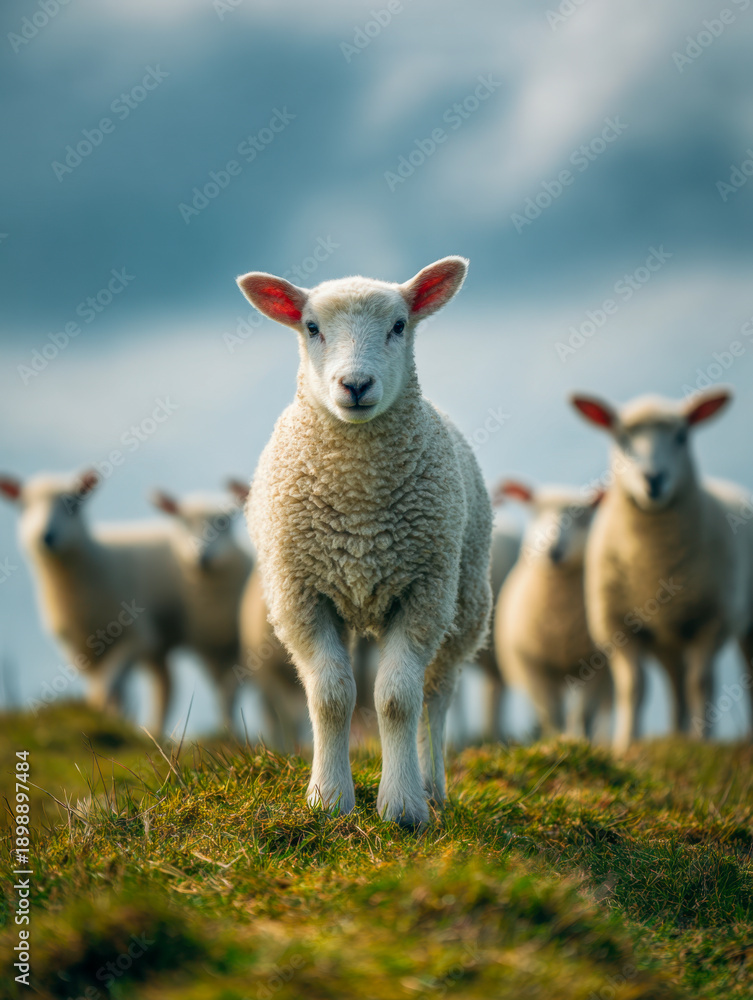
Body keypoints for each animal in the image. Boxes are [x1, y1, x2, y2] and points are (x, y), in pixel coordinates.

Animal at [0, 470, 185, 731]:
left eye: (74, 504)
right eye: (23, 506)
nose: (46, 537)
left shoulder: (136, 636)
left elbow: (110, 685)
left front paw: (106, 718)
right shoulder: (81, 649)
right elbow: (101, 689)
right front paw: (106, 717)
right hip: (157, 648)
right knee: (165, 683)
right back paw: (153, 730)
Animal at [150, 486, 253, 730]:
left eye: (224, 522)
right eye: (184, 522)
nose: (202, 557)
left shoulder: (241, 652)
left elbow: (229, 693)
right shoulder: (209, 651)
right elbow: (222, 694)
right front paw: (227, 730)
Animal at [236, 256, 493, 824]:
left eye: (399, 325)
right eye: (311, 327)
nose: (355, 384)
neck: (358, 501)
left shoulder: (423, 593)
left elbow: (397, 699)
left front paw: (402, 808)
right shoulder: (301, 595)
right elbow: (331, 696)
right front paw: (329, 800)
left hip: (464, 601)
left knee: (436, 694)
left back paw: (431, 786)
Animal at [493, 480, 611, 740]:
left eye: (583, 518)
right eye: (535, 513)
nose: (554, 551)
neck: (560, 618)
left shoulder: (598, 664)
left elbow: (584, 714)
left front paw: (581, 742)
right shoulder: (534, 665)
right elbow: (551, 712)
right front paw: (556, 740)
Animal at [570, 388, 750, 751]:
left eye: (682, 436)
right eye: (622, 437)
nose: (653, 480)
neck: (655, 562)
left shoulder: (713, 619)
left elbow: (701, 683)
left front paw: (702, 743)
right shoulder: (616, 624)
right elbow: (634, 688)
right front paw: (626, 745)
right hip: (667, 641)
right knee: (675, 686)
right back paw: (675, 737)